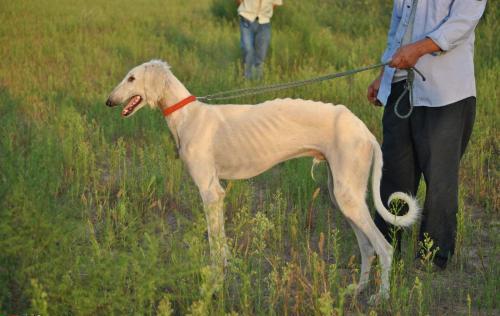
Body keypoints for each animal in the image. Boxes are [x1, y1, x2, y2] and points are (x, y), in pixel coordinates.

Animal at [107, 59, 420, 302]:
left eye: (131, 78)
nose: (108, 101)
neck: (188, 116)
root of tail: (365, 131)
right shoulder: (216, 193)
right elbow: (222, 244)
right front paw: (223, 278)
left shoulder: (210, 192)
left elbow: (214, 244)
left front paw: (213, 286)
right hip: (342, 195)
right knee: (367, 248)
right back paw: (358, 290)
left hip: (348, 196)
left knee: (384, 248)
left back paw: (382, 296)